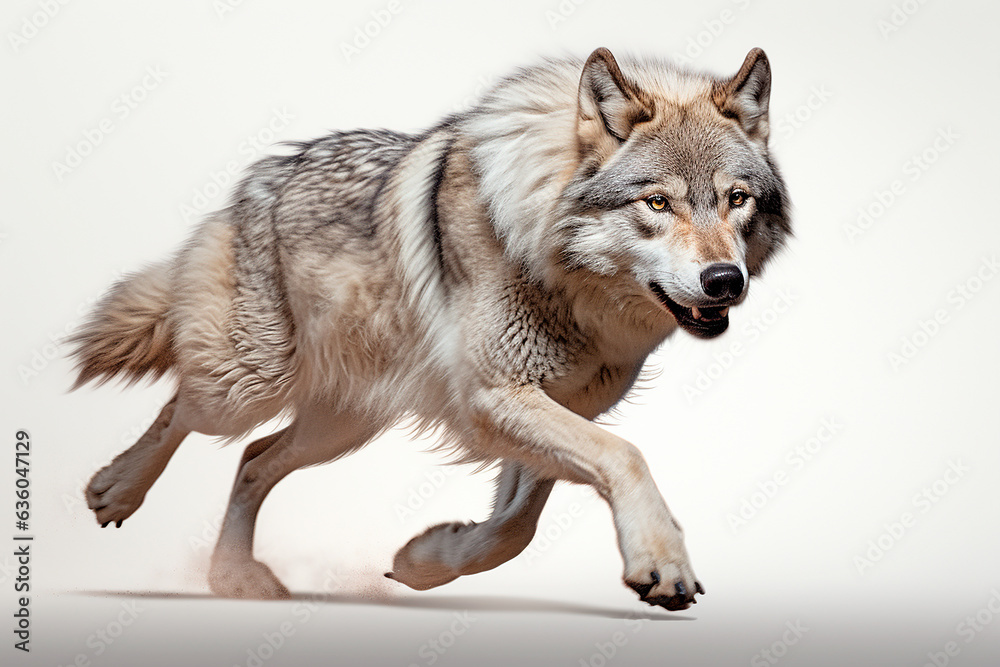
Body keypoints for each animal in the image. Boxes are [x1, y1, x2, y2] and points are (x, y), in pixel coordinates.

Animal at [71, 47, 790, 611]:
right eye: (658, 202)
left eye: (736, 199)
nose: (724, 280)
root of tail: (259, 178)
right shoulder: (494, 395)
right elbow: (625, 455)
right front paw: (663, 562)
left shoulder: (552, 406)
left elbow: (515, 528)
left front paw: (425, 559)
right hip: (249, 385)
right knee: (182, 406)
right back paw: (116, 489)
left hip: (343, 423)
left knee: (251, 459)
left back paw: (235, 578)